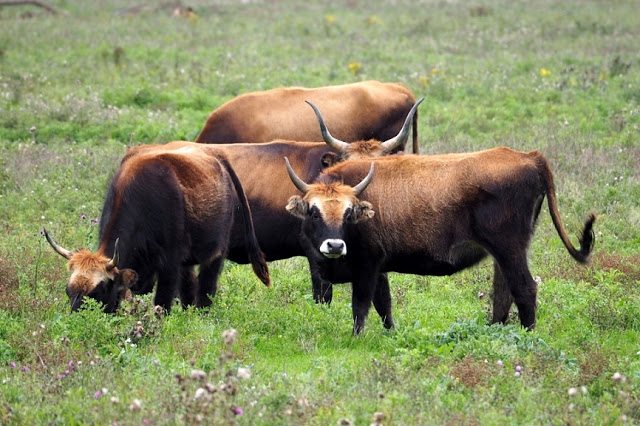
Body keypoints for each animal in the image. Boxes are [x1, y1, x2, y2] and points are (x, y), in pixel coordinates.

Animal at [42, 145, 268, 314]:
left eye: (99, 291)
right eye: (68, 291)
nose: (78, 323)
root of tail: (216, 155)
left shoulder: (169, 264)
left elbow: (163, 302)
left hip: (215, 253)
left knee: (206, 288)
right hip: (187, 263)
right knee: (189, 289)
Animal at [284, 148, 596, 334]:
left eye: (348, 213)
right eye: (313, 211)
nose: (334, 246)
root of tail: (529, 156)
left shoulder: (366, 265)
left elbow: (360, 306)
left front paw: (356, 338)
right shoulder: (379, 268)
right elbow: (384, 305)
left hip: (509, 249)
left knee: (525, 289)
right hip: (506, 253)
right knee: (503, 293)